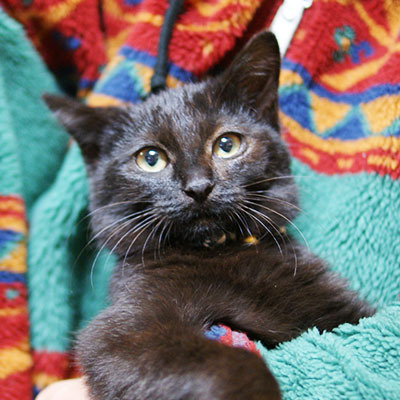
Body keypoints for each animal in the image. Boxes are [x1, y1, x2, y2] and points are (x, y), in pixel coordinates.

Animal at [44, 31, 375, 400]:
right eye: (150, 159)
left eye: (227, 144)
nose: (198, 187)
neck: (218, 250)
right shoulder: (122, 332)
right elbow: (234, 363)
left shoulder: (340, 311)